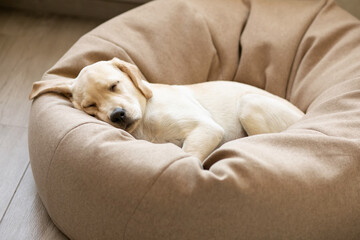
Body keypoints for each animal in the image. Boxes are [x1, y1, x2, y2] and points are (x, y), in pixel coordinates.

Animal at [30, 58, 304, 162]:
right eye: (90, 106)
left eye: (114, 85)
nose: (117, 115)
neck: (145, 122)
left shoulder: (206, 128)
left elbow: (189, 154)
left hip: (250, 104)